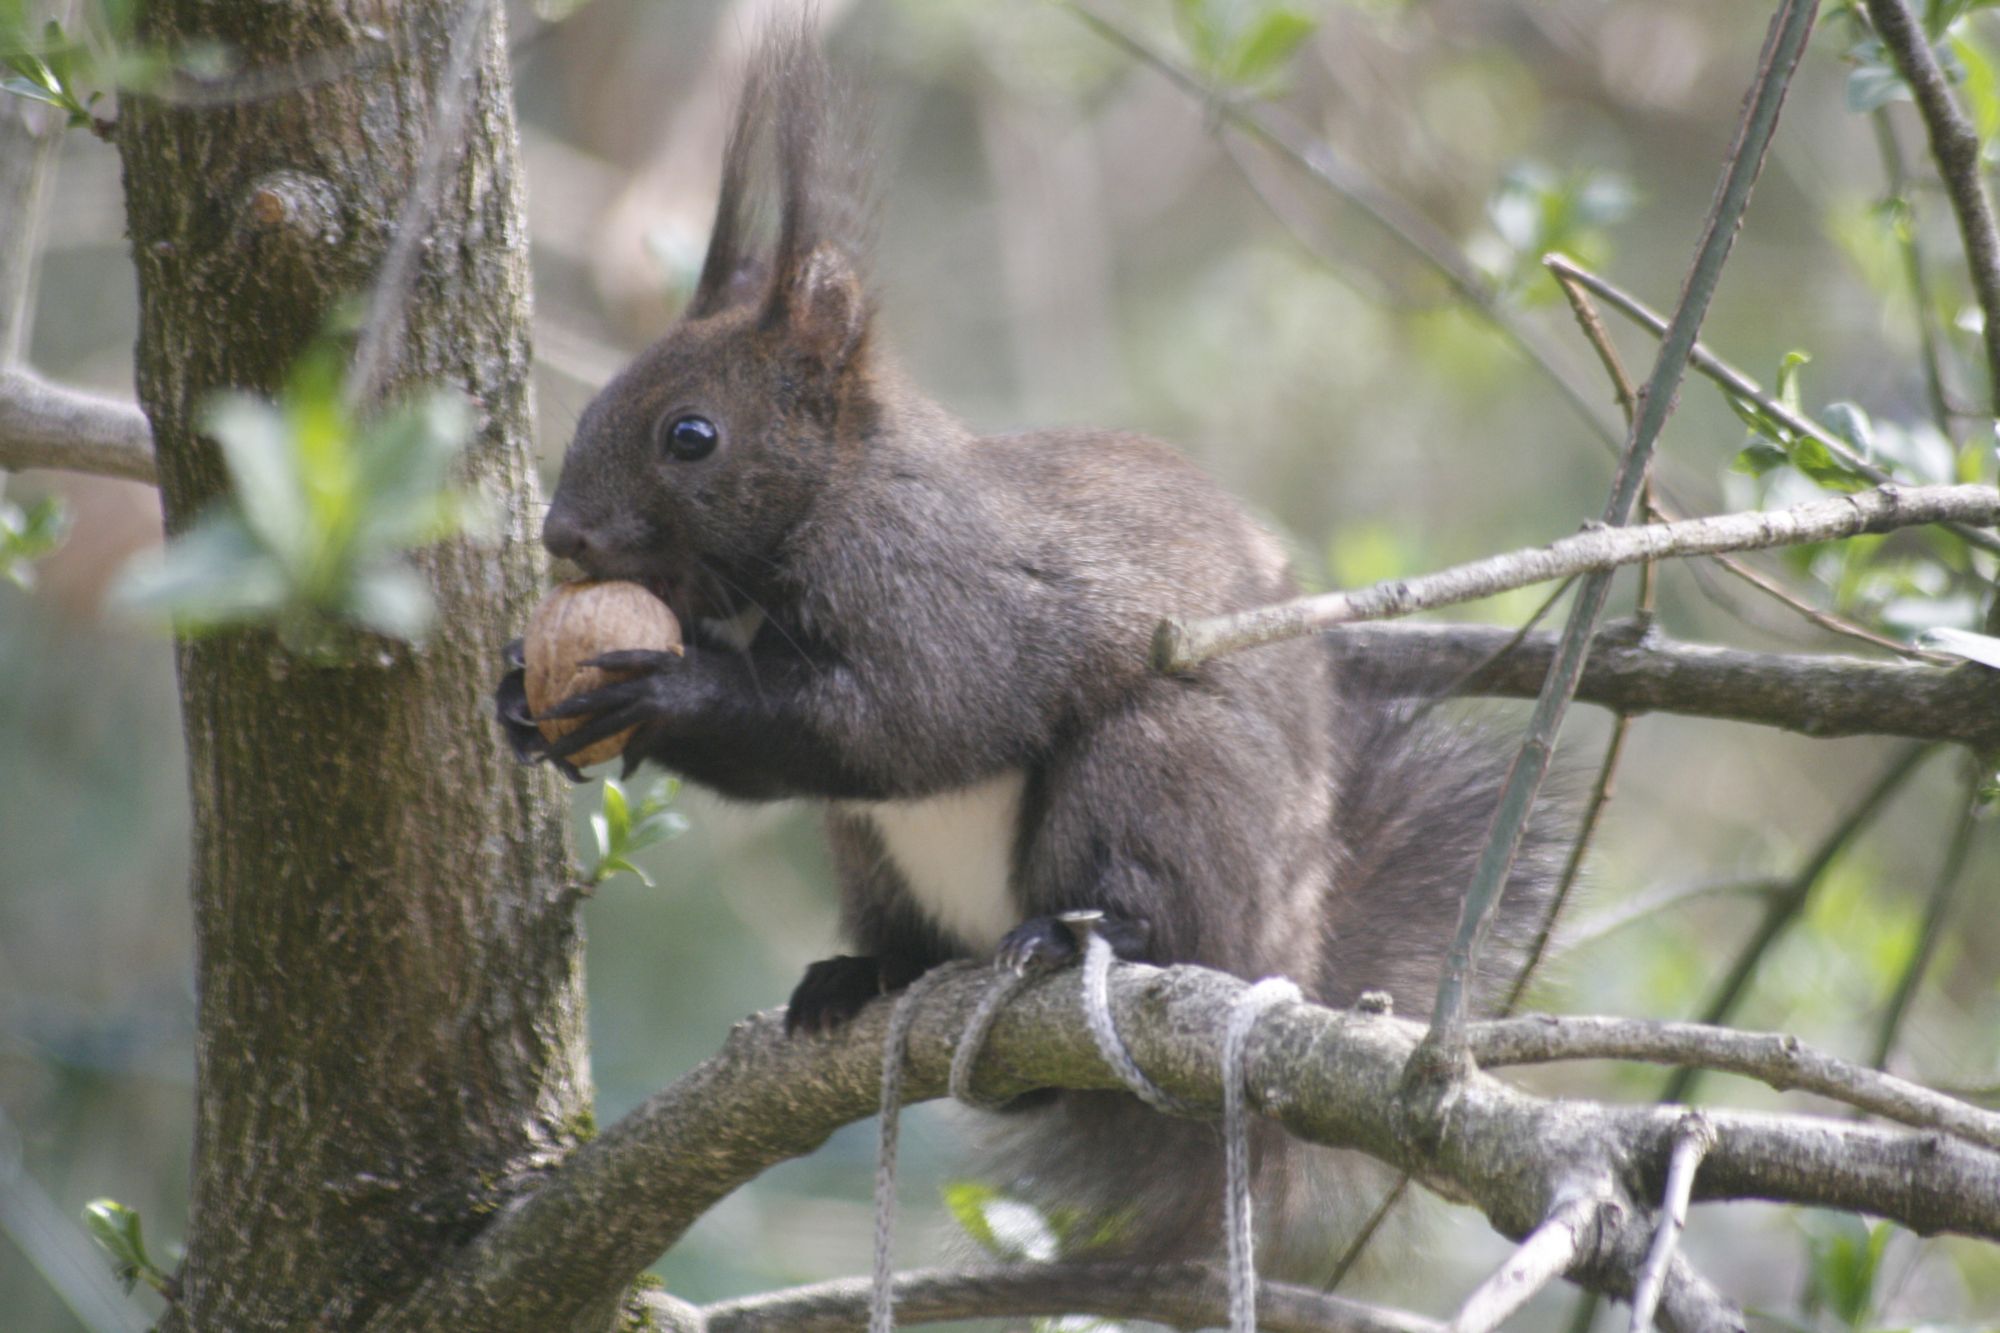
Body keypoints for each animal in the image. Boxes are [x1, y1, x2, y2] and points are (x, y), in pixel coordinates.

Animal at [496, 23, 1560, 1264]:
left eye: (691, 435)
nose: (563, 535)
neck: (816, 516)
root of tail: (1285, 952)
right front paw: (517, 696)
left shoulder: (938, 594)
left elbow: (904, 721)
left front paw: (663, 692)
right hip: (867, 854)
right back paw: (861, 972)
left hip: (1161, 771)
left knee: (1149, 901)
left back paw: (1072, 936)